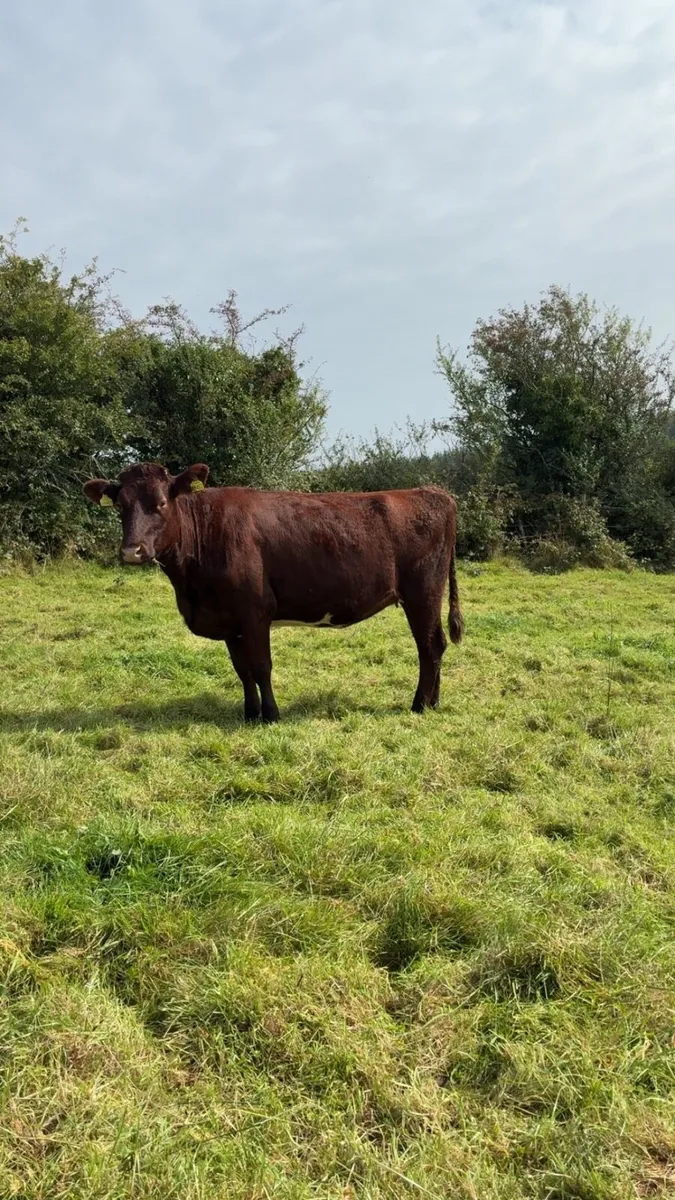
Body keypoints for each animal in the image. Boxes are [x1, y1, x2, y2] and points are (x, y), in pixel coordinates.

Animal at [84, 462, 463, 723]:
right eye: (120, 506)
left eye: (161, 503)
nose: (131, 552)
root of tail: (433, 492)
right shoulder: (229, 620)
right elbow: (242, 670)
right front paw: (250, 713)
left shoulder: (255, 611)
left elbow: (262, 666)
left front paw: (272, 715)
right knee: (437, 644)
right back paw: (434, 702)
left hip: (423, 593)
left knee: (429, 646)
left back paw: (419, 705)